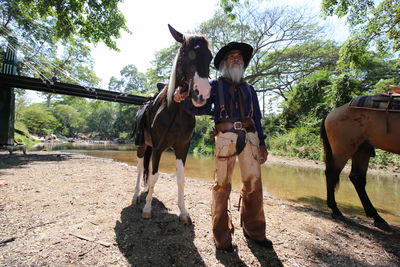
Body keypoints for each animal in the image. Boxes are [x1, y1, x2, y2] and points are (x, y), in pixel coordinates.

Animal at [131, 25, 212, 225]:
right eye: (185, 53)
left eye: (211, 56)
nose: (202, 93)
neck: (175, 111)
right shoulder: (158, 148)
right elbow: (154, 176)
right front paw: (147, 209)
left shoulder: (182, 148)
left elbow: (180, 179)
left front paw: (183, 212)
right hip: (142, 145)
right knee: (139, 168)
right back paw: (136, 196)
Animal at [322, 96, 400, 232]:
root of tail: (331, 114)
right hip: (344, 149)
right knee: (332, 173)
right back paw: (336, 210)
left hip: (362, 148)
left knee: (357, 178)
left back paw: (377, 217)